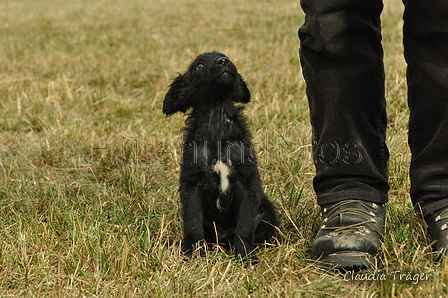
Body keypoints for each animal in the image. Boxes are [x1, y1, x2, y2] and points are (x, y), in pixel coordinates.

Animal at [163, 52, 278, 262]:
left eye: (226, 56)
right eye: (199, 65)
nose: (223, 61)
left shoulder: (246, 184)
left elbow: (244, 227)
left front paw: (245, 258)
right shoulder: (191, 185)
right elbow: (193, 225)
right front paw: (195, 255)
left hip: (266, 211)